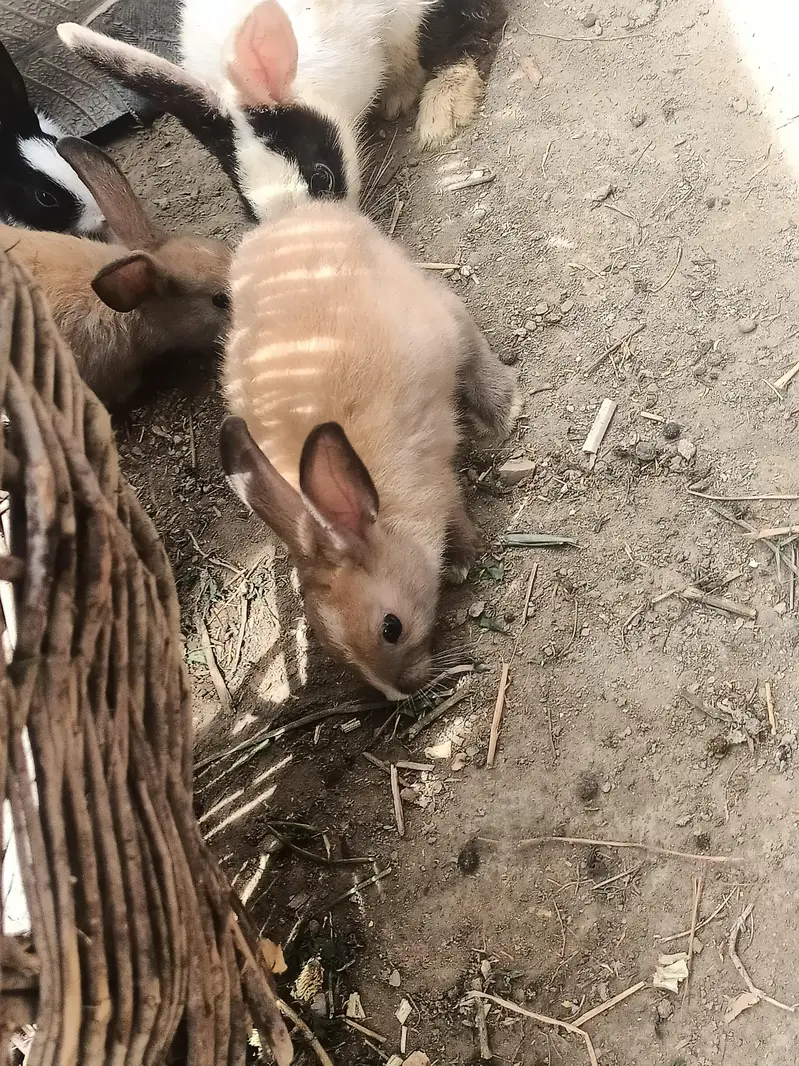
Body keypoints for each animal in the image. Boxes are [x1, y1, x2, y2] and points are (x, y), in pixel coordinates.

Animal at [218, 199, 518, 700]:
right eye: (329, 649)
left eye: (391, 628)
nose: (400, 694)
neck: (381, 517)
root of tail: (294, 214)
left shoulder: (438, 481)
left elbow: (457, 513)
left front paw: (460, 562)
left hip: (433, 315)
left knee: (462, 327)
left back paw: (501, 407)